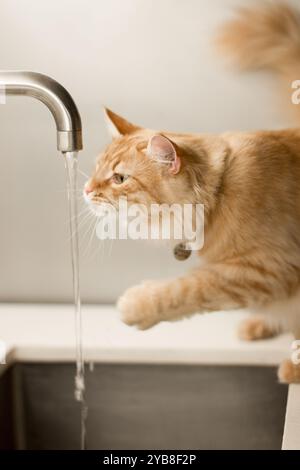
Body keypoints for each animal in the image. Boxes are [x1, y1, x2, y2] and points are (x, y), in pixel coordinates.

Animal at [84, 0, 300, 382]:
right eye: (97, 169)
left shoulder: (267, 268)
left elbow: (191, 287)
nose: (85, 188)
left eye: (119, 179)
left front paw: (137, 306)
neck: (220, 195)